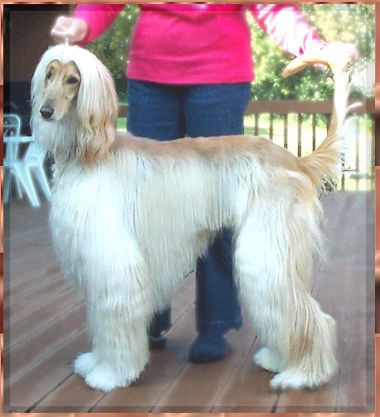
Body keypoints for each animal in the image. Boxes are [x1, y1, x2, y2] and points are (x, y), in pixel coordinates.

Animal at [31, 44, 354, 392]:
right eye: (49, 74)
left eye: (74, 79)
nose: (45, 112)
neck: (91, 153)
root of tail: (296, 160)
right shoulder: (93, 259)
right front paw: (96, 362)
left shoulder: (113, 260)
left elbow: (114, 318)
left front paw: (110, 373)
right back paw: (279, 359)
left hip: (267, 248)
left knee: (312, 317)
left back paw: (303, 374)